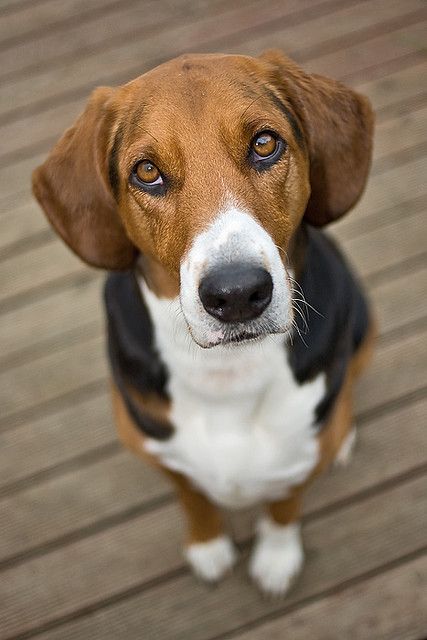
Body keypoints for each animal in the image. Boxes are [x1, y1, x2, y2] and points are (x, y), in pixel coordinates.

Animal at [32, 48, 374, 596]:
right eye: (147, 171)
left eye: (264, 144)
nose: (236, 295)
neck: (226, 374)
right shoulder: (159, 451)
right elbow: (193, 498)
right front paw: (208, 546)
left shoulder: (298, 463)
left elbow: (284, 506)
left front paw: (277, 558)